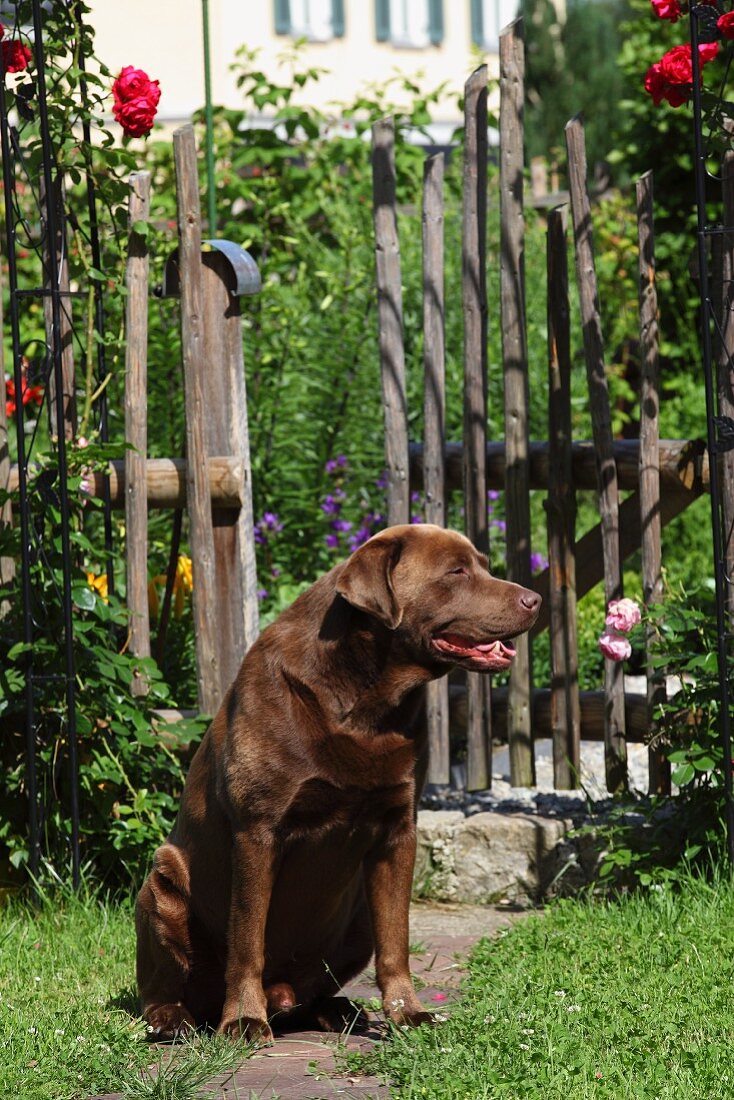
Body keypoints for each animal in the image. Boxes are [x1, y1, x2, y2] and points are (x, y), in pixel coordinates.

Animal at [136, 523, 539, 1038]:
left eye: (483, 566)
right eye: (456, 572)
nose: (534, 599)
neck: (365, 706)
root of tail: (281, 994)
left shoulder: (398, 830)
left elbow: (397, 939)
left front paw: (406, 1011)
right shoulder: (257, 831)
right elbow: (247, 937)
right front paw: (244, 1019)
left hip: (357, 920)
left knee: (321, 984)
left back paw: (336, 1010)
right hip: (161, 887)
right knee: (162, 986)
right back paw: (175, 1017)